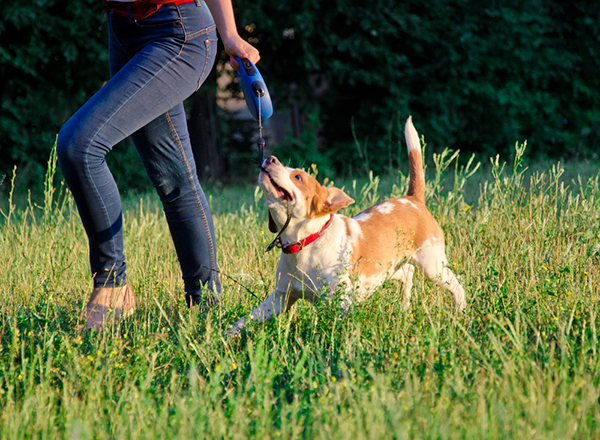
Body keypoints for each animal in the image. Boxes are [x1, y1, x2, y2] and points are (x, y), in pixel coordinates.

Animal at [229, 117, 464, 336]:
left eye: (298, 177)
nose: (270, 158)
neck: (306, 242)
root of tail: (413, 199)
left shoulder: (340, 304)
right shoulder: (279, 298)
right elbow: (242, 322)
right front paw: (223, 338)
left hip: (433, 266)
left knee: (457, 285)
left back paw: (460, 316)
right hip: (386, 270)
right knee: (408, 272)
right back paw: (405, 308)